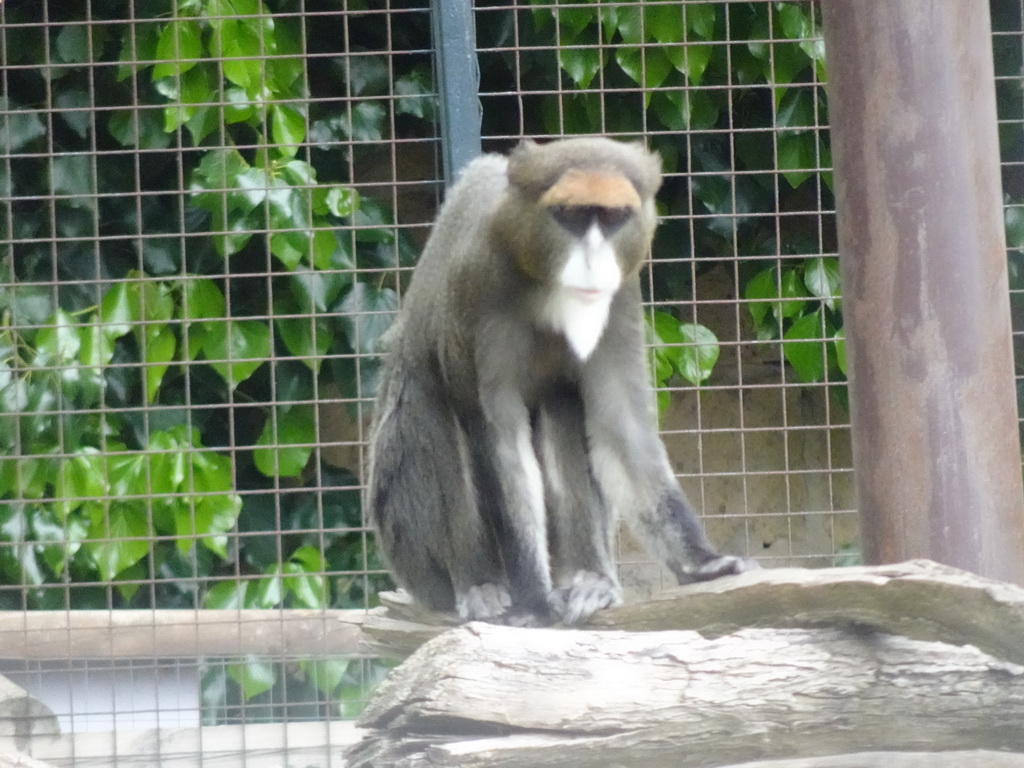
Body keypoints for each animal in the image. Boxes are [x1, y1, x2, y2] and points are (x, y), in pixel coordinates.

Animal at [366, 135, 753, 626]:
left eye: (612, 217)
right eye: (571, 215)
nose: (592, 259)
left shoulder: (621, 293)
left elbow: (622, 425)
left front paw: (703, 562)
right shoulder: (482, 285)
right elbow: (501, 440)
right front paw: (534, 602)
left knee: (561, 399)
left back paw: (590, 580)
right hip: (410, 547)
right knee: (430, 406)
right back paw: (481, 585)